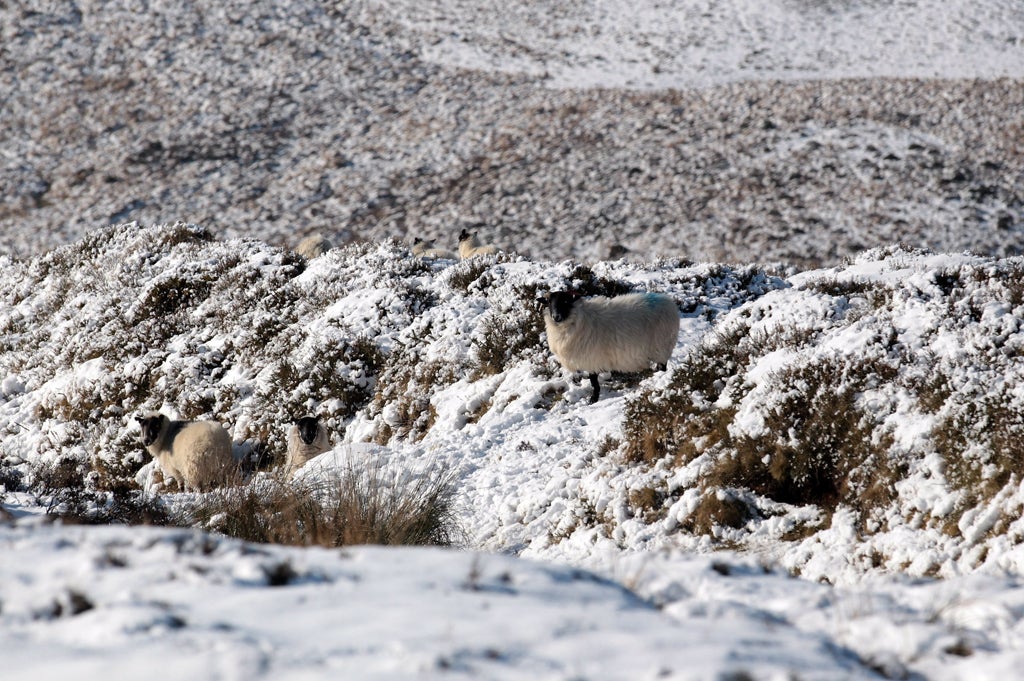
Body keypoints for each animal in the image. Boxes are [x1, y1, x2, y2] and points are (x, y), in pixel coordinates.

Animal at [536, 288, 679, 403]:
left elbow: (594, 382)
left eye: (565, 301)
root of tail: (669, 302)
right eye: (548, 302)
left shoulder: (592, 359)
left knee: (663, 366)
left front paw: (593, 399)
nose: (556, 316)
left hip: (662, 346)